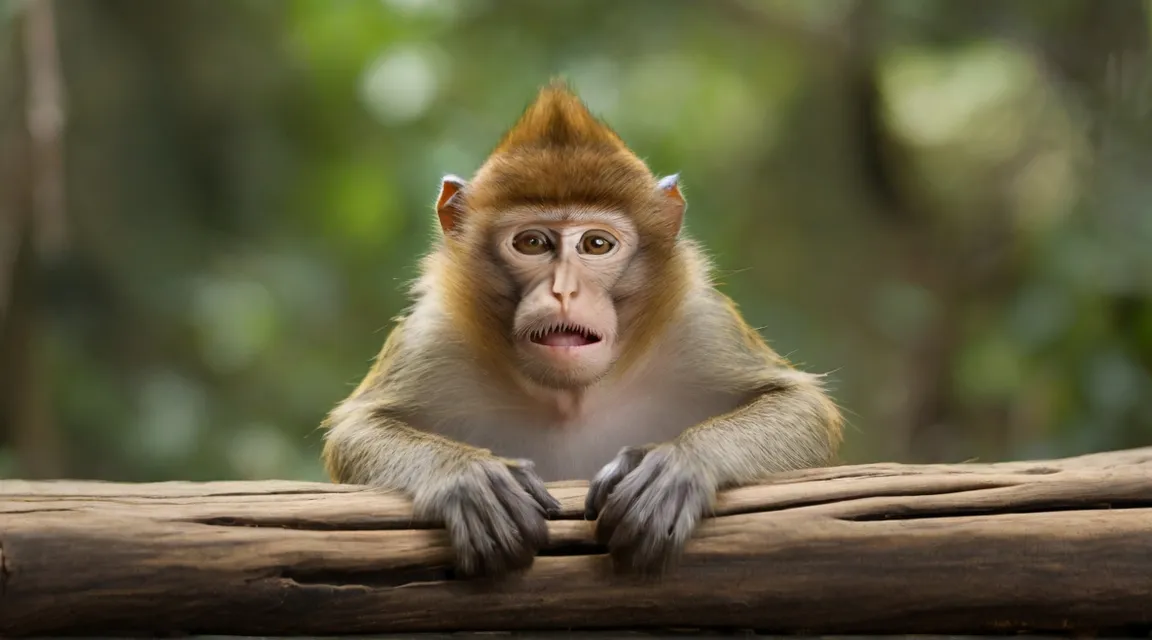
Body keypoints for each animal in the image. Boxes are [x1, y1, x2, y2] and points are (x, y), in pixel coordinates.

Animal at [320, 80, 843, 580]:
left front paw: (678, 461)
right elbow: (356, 429)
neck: (570, 398)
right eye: (532, 243)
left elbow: (802, 406)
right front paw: (465, 474)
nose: (564, 290)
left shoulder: (698, 321)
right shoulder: (434, 333)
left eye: (596, 244)